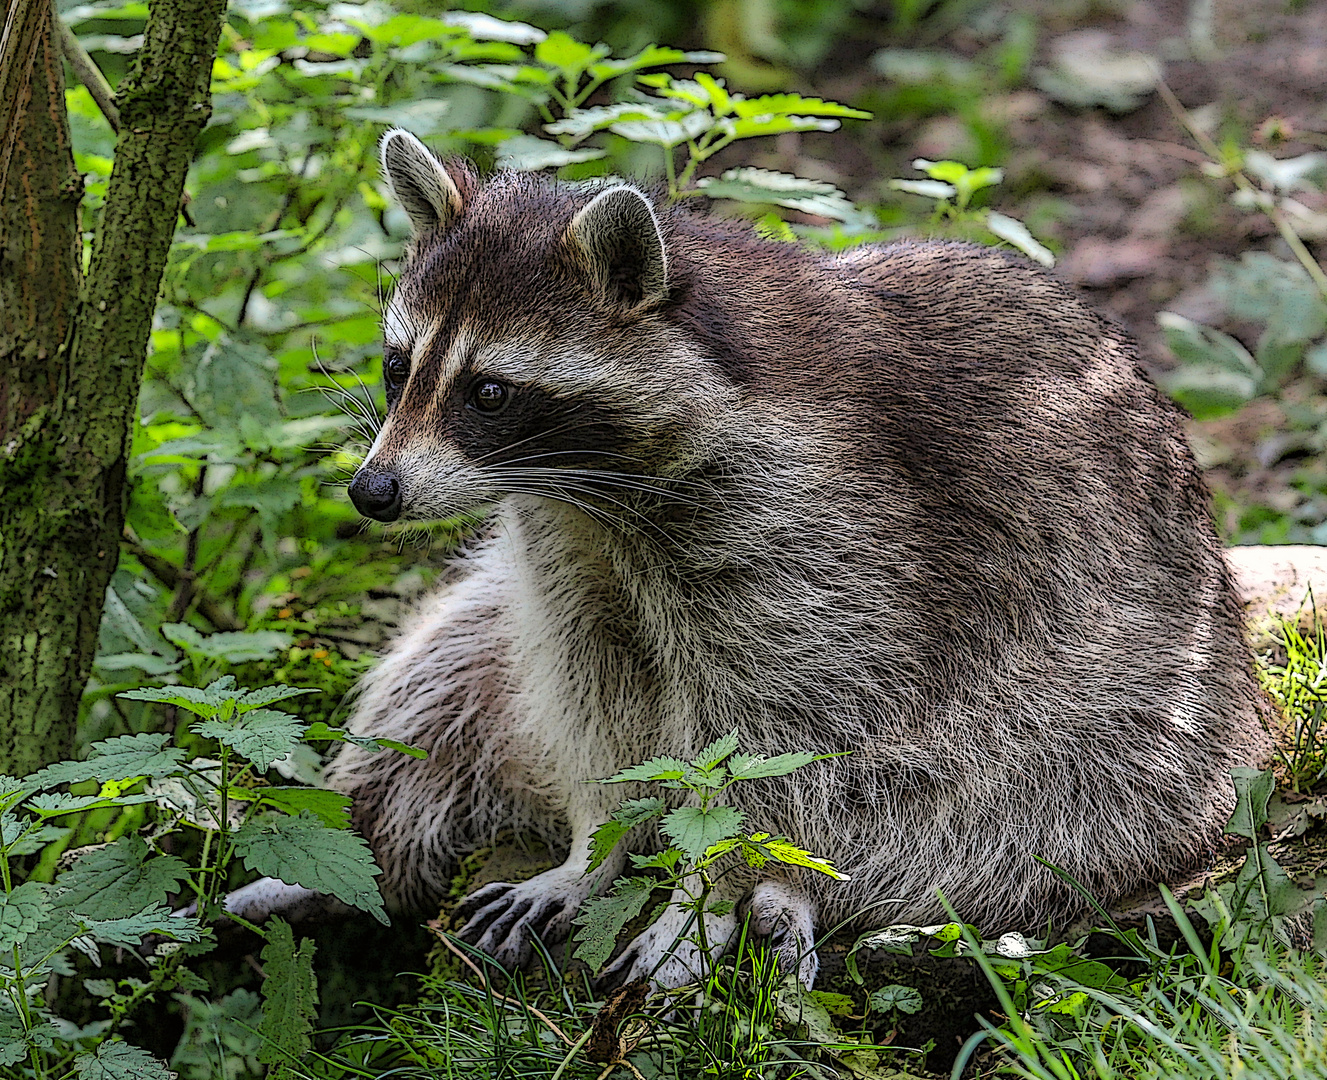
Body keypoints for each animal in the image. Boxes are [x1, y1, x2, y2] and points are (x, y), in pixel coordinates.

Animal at [230, 128, 1273, 987]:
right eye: (397, 367)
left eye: (488, 391)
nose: (373, 492)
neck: (597, 493)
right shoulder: (563, 543)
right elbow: (595, 693)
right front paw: (592, 846)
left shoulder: (821, 534)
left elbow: (784, 746)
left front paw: (714, 887)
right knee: (444, 672)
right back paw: (359, 842)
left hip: (1148, 712)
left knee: (1029, 805)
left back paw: (795, 892)